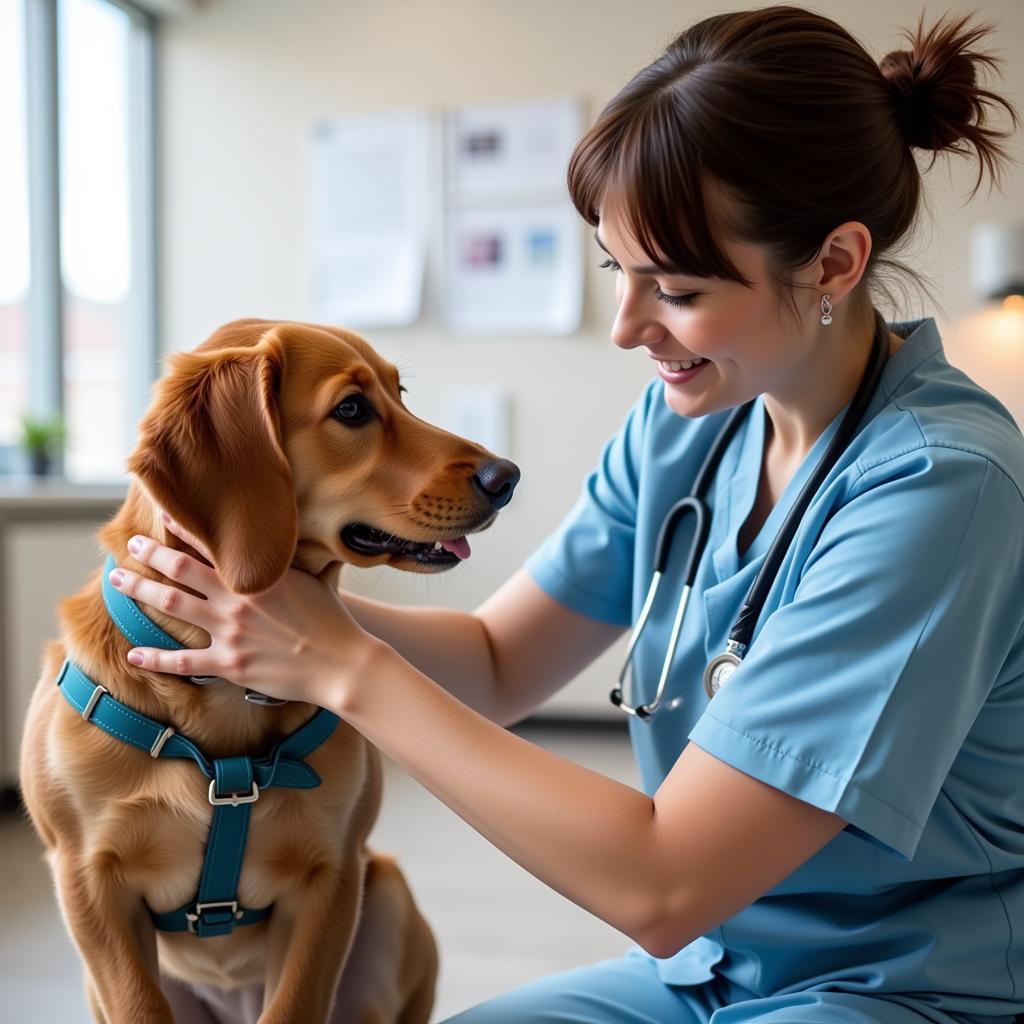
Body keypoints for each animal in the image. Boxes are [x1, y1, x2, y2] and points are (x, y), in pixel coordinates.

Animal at [18, 315, 520, 1019]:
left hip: (387, 891)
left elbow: (297, 1003)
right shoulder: (89, 888)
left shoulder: (332, 876)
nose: (507, 476)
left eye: (401, 394)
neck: (224, 690)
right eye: (352, 409)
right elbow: (138, 1002)